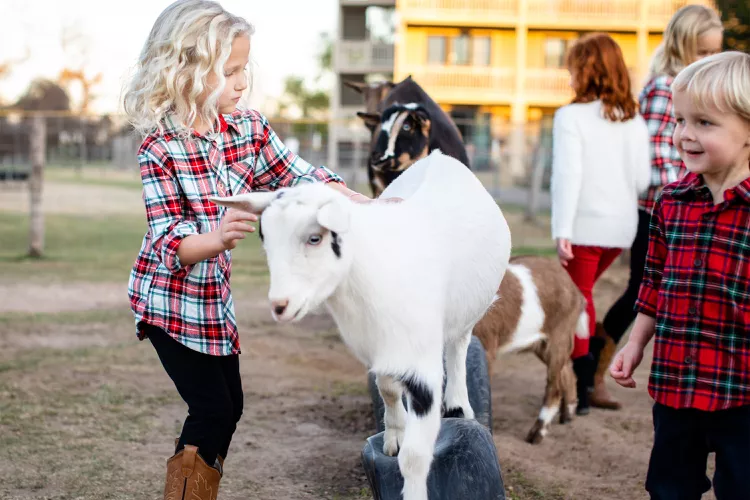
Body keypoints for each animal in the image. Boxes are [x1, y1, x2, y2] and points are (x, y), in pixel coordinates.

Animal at [214, 150, 516, 500]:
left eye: (315, 238)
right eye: (265, 238)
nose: (280, 305)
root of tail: (439, 157)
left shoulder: (422, 366)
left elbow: (415, 456)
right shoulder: (381, 348)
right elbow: (387, 390)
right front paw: (394, 436)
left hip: (468, 311)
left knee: (459, 348)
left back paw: (457, 406)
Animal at [472, 256, 592, 444]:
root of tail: (574, 288)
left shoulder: (485, 345)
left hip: (560, 333)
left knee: (554, 387)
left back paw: (537, 433)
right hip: (543, 344)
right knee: (567, 370)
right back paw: (568, 415)